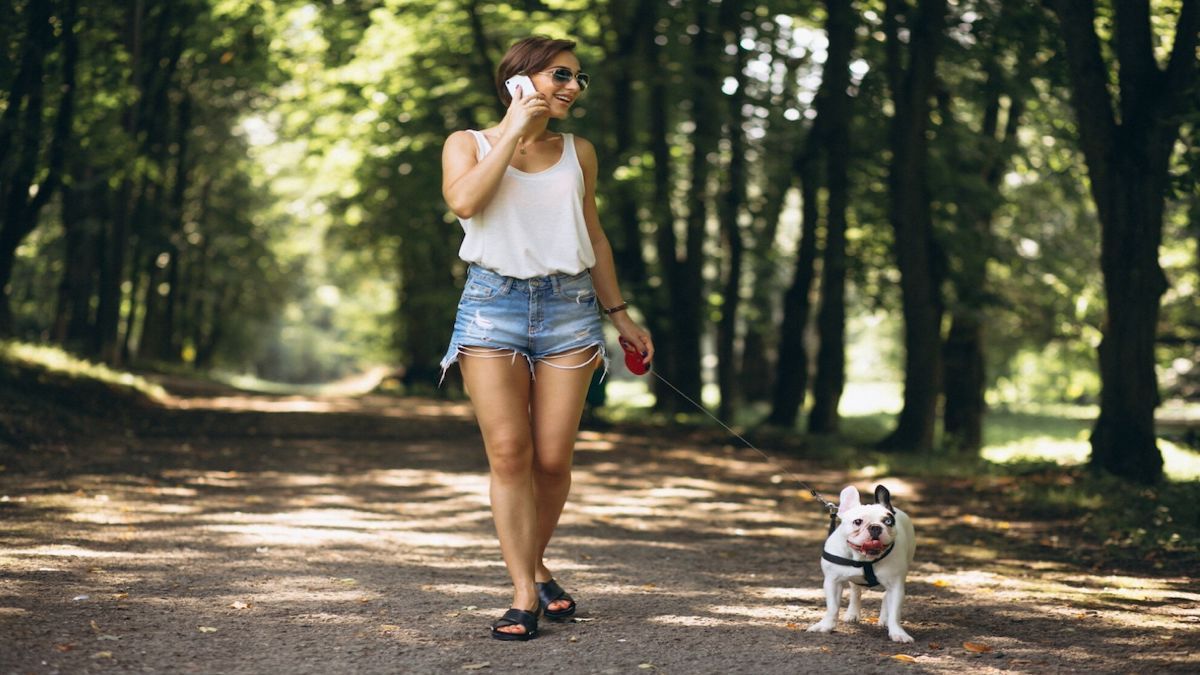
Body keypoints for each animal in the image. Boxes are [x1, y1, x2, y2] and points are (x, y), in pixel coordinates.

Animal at [806, 482, 916, 638]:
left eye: (888, 521)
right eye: (857, 522)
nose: (875, 527)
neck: (864, 559)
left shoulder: (896, 585)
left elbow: (895, 612)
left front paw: (898, 633)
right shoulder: (833, 581)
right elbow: (832, 607)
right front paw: (825, 626)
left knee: (886, 596)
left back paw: (885, 619)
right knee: (855, 591)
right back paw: (853, 614)